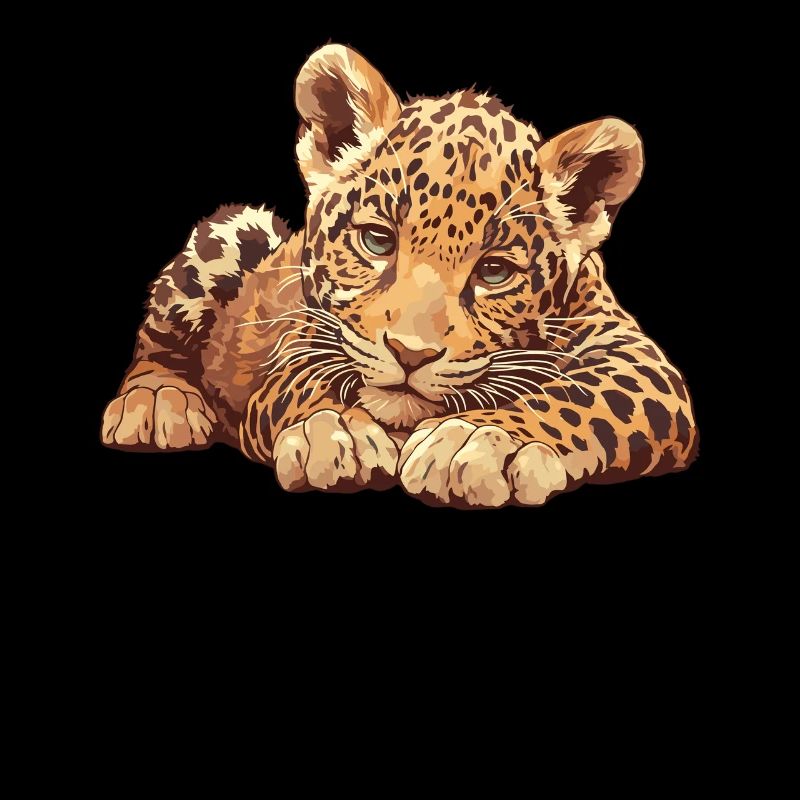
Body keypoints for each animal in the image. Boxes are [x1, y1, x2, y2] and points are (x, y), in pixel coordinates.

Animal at [101, 43, 698, 508]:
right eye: (377, 241)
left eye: (494, 272)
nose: (412, 355)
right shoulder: (292, 341)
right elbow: (303, 379)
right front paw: (336, 429)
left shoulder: (636, 357)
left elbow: (584, 397)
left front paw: (479, 441)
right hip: (233, 232)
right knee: (158, 338)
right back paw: (155, 403)